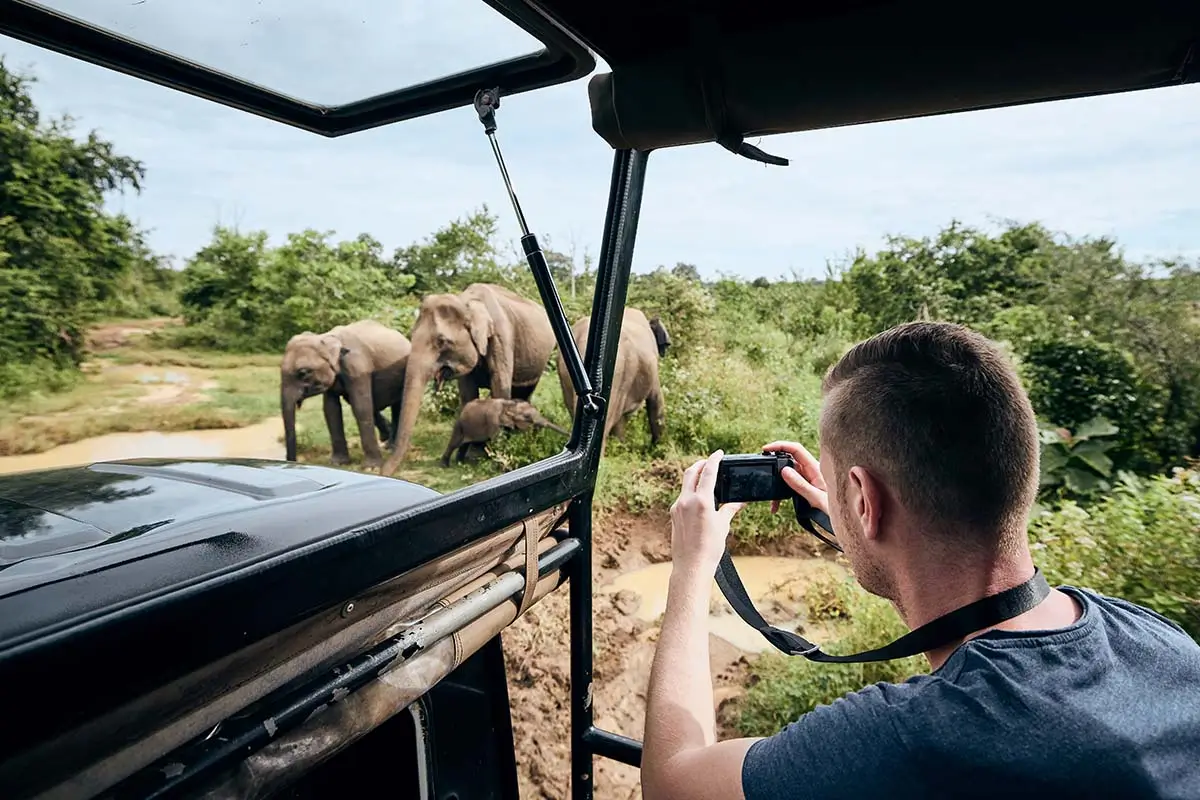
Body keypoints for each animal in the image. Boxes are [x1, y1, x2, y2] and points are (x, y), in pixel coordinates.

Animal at [280, 320, 411, 469]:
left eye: (303, 372)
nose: (292, 461)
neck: (326, 337)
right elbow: (331, 410)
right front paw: (338, 463)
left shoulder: (358, 369)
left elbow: (361, 407)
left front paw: (371, 467)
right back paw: (387, 443)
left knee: (398, 405)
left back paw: (391, 446)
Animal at [440, 398, 568, 467]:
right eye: (527, 417)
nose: (568, 435)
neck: (509, 404)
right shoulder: (493, 421)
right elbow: (497, 443)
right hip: (459, 424)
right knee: (454, 443)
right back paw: (445, 466)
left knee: (464, 445)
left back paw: (460, 463)